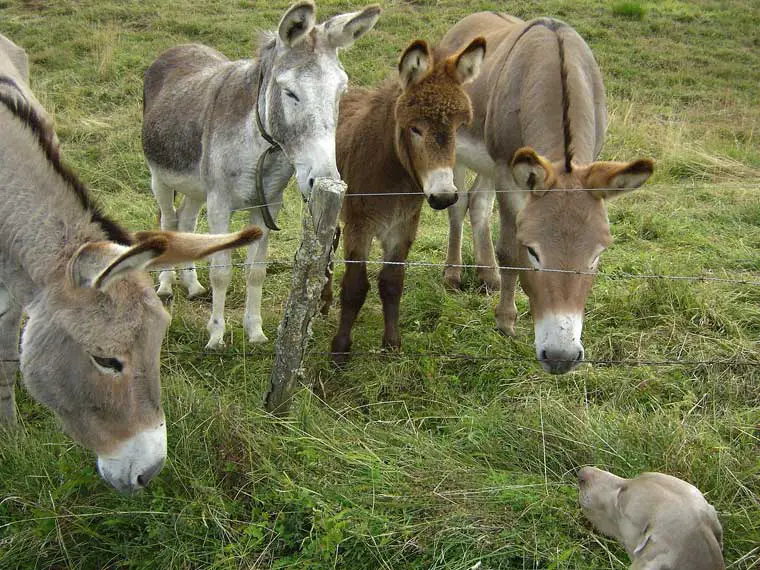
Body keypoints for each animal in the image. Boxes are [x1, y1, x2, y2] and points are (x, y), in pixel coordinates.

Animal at [324, 37, 484, 364]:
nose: (444, 196)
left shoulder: (404, 227)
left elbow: (392, 282)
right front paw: (340, 350)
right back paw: (323, 300)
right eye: (415, 128)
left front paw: (392, 345)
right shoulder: (360, 226)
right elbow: (356, 286)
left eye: (458, 128)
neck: (393, 177)